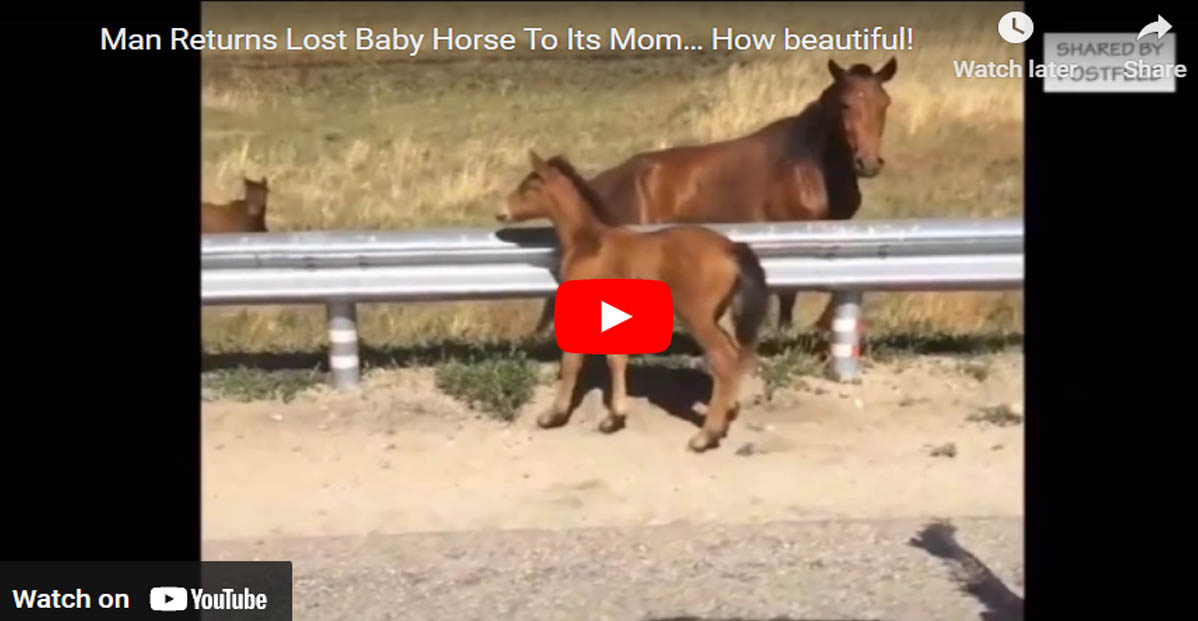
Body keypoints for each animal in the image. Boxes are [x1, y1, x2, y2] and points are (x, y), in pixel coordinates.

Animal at [495, 151, 766, 453]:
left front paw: (554, 415)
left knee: (724, 360)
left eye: (529, 186)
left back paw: (704, 437)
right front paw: (613, 418)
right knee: (735, 356)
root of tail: (730, 248)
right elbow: (616, 359)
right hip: (719, 315)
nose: (501, 212)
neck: (588, 243)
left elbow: (573, 360)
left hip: (697, 317)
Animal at [536, 57, 900, 338]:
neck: (807, 166)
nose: (868, 163)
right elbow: (788, 296)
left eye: (884, 104)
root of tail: (602, 182)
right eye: (846, 104)